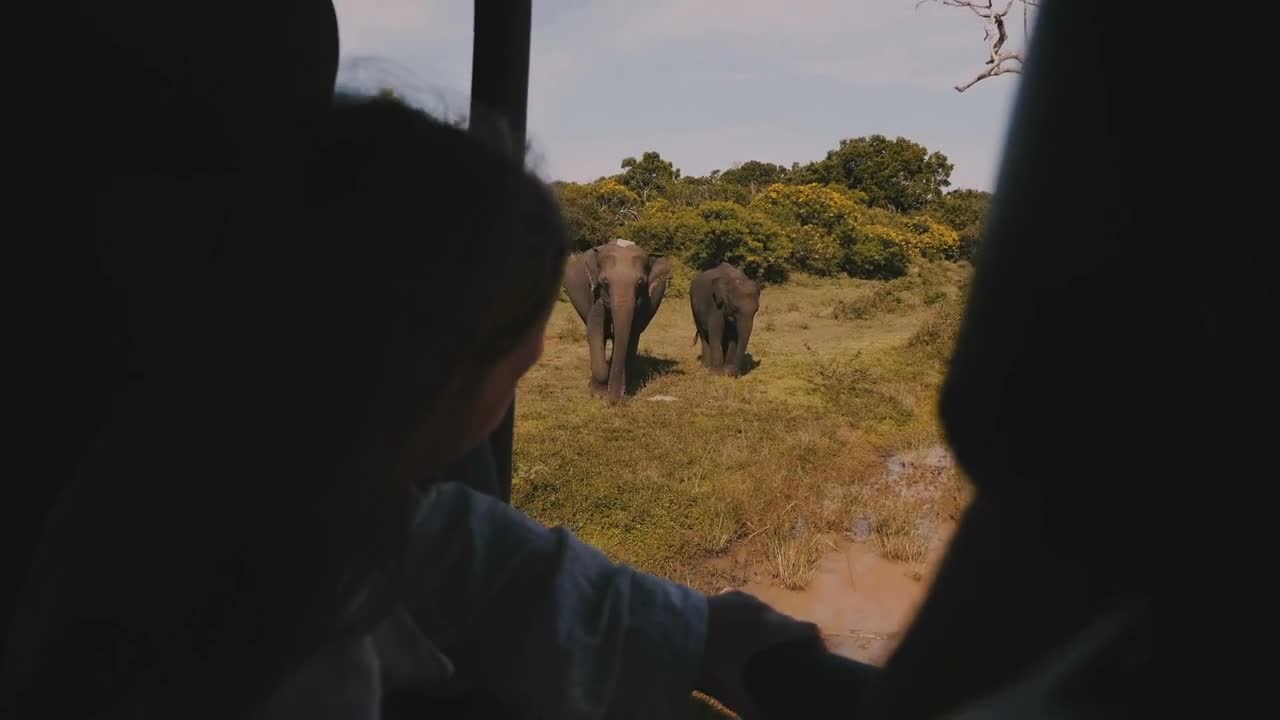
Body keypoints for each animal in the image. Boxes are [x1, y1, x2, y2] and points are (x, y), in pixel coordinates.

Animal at [565, 238, 675, 399]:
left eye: (640, 283)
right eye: (605, 282)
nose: (613, 400)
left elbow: (632, 333)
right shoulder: (594, 295)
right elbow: (594, 329)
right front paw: (598, 392)